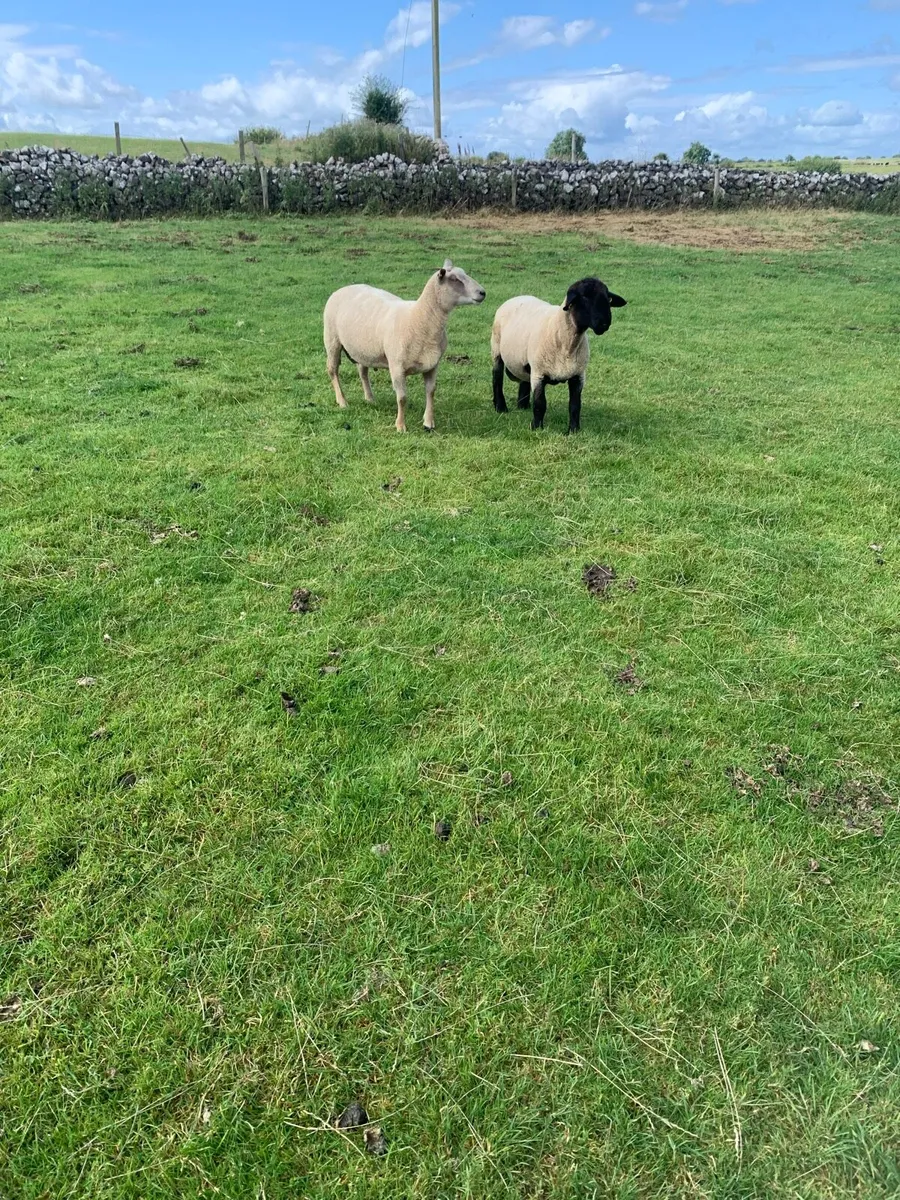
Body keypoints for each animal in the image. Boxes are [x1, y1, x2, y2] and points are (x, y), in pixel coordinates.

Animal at [323, 260, 486, 433]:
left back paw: (370, 398)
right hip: (332, 340)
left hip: (363, 349)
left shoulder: (433, 365)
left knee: (362, 371)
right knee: (333, 370)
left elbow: (431, 392)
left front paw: (428, 422)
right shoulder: (396, 366)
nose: (483, 293)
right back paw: (342, 401)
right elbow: (402, 398)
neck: (418, 318)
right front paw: (400, 426)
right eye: (455, 279)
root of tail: (343, 288)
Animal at [490, 277, 626, 434]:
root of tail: (518, 297)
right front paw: (537, 428)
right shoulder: (539, 373)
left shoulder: (578, 375)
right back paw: (500, 407)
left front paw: (573, 431)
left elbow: (575, 405)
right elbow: (540, 404)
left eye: (608, 298)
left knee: (523, 379)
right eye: (585, 296)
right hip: (496, 349)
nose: (604, 323)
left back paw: (523, 406)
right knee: (497, 377)